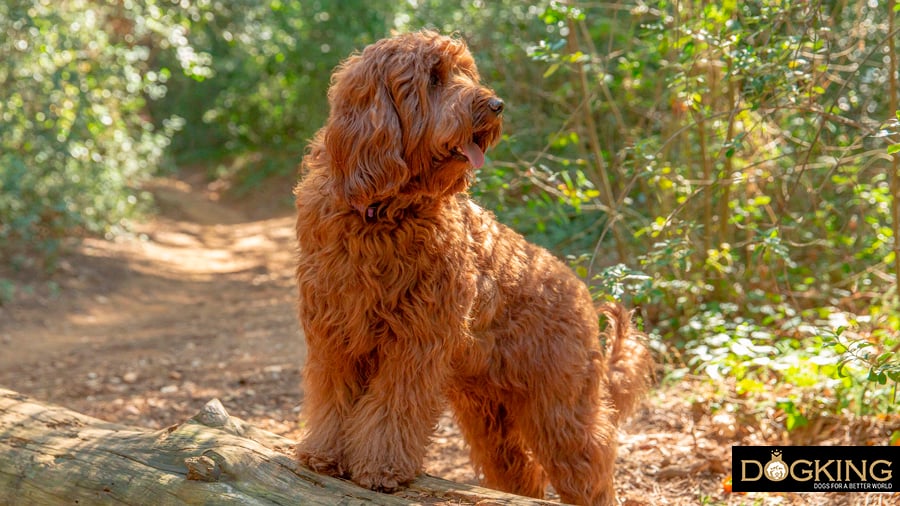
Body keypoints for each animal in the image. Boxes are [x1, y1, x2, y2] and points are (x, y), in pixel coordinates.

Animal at [296, 30, 652, 506]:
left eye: (466, 72)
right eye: (433, 78)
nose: (496, 105)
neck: (381, 213)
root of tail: (582, 294)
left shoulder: (415, 342)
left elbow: (392, 409)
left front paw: (381, 468)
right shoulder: (335, 334)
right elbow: (333, 399)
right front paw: (324, 455)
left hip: (560, 406)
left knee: (589, 465)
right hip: (488, 411)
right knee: (521, 472)